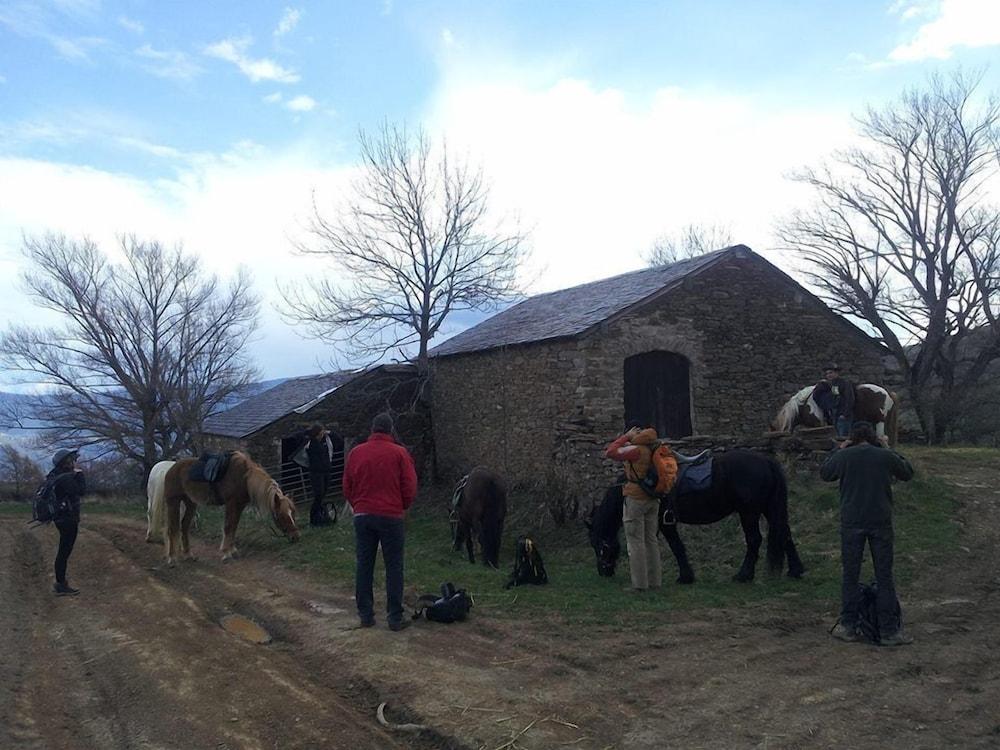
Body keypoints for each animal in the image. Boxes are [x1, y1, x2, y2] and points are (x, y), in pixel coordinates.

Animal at [146, 452, 298, 564]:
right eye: (282, 515)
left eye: (293, 513)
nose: (295, 537)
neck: (244, 478)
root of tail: (169, 469)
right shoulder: (231, 503)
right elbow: (228, 526)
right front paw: (226, 553)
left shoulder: (239, 506)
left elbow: (234, 526)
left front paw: (232, 550)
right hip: (174, 502)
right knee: (173, 528)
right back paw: (172, 558)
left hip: (190, 502)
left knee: (184, 526)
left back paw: (188, 554)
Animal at [584, 450, 804, 584]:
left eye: (598, 544)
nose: (603, 572)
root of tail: (766, 461)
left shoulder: (665, 522)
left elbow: (676, 547)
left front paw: (685, 577)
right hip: (769, 509)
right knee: (785, 534)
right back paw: (795, 571)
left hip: (749, 513)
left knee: (754, 540)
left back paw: (744, 575)